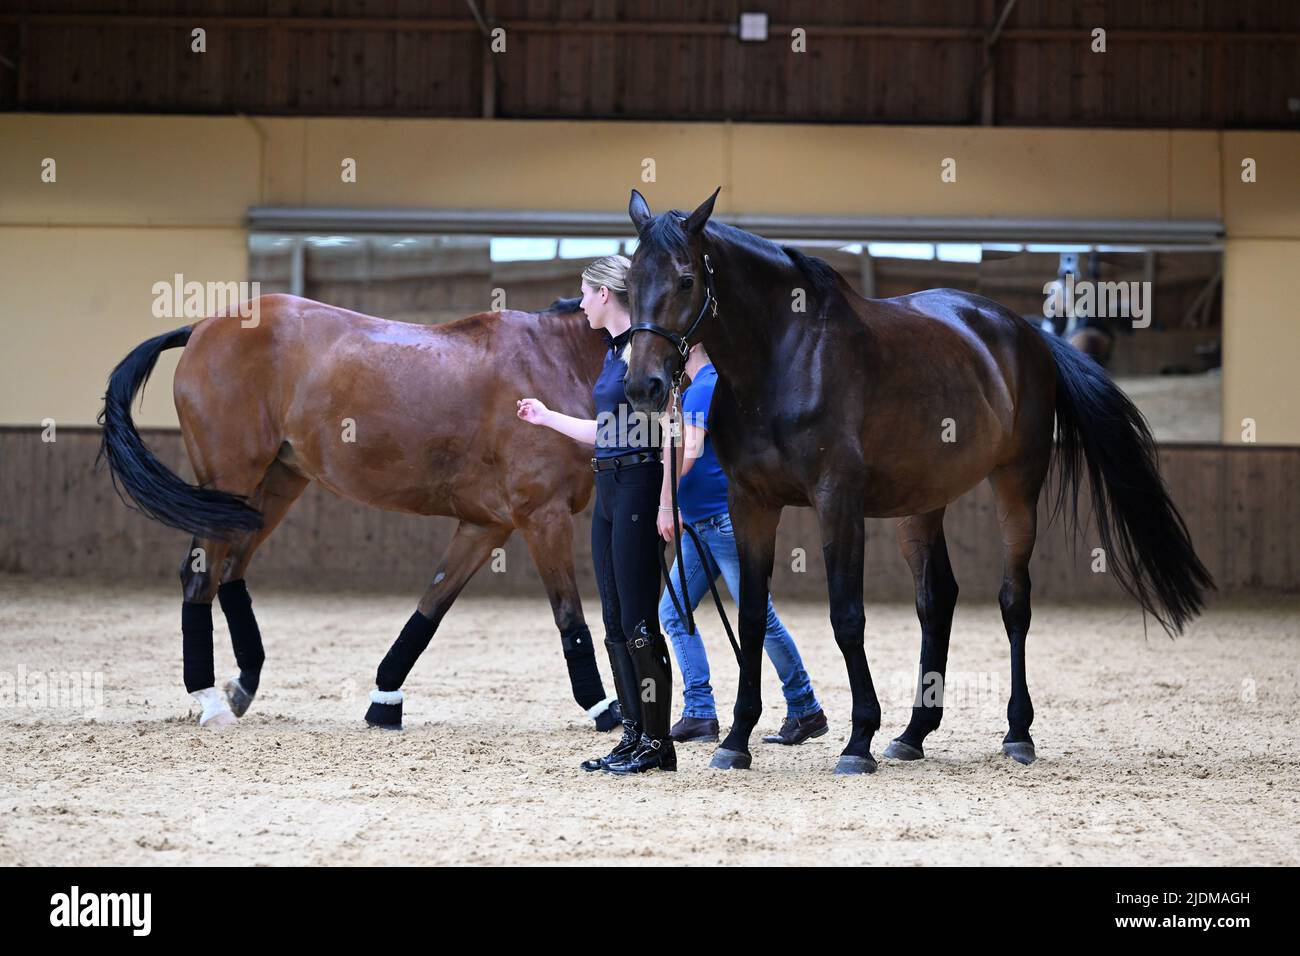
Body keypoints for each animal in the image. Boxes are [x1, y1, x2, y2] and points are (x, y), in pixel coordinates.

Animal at [100, 295, 618, 728]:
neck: (556, 359)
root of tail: (201, 327)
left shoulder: (486, 525)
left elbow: (430, 607)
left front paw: (384, 702)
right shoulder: (542, 515)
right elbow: (568, 614)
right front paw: (603, 708)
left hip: (272, 486)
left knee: (230, 573)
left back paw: (242, 686)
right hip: (231, 482)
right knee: (200, 578)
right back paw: (210, 701)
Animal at [618, 188, 1206, 780]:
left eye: (686, 279)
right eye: (632, 280)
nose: (644, 385)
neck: (787, 359)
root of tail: (1028, 335)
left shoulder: (837, 501)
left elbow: (847, 617)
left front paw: (858, 740)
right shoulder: (751, 504)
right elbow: (754, 619)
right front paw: (737, 739)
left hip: (1016, 485)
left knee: (1014, 601)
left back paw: (1017, 732)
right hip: (921, 503)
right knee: (937, 600)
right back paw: (913, 733)